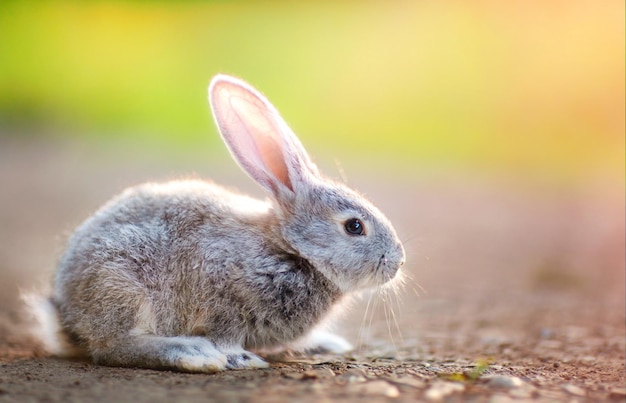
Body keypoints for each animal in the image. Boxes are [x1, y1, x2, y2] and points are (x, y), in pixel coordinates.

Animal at [39, 75, 402, 372]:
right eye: (354, 226)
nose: (398, 262)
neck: (290, 249)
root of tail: (66, 317)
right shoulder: (222, 300)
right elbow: (225, 334)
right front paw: (238, 357)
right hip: (123, 285)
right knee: (114, 348)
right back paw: (192, 354)